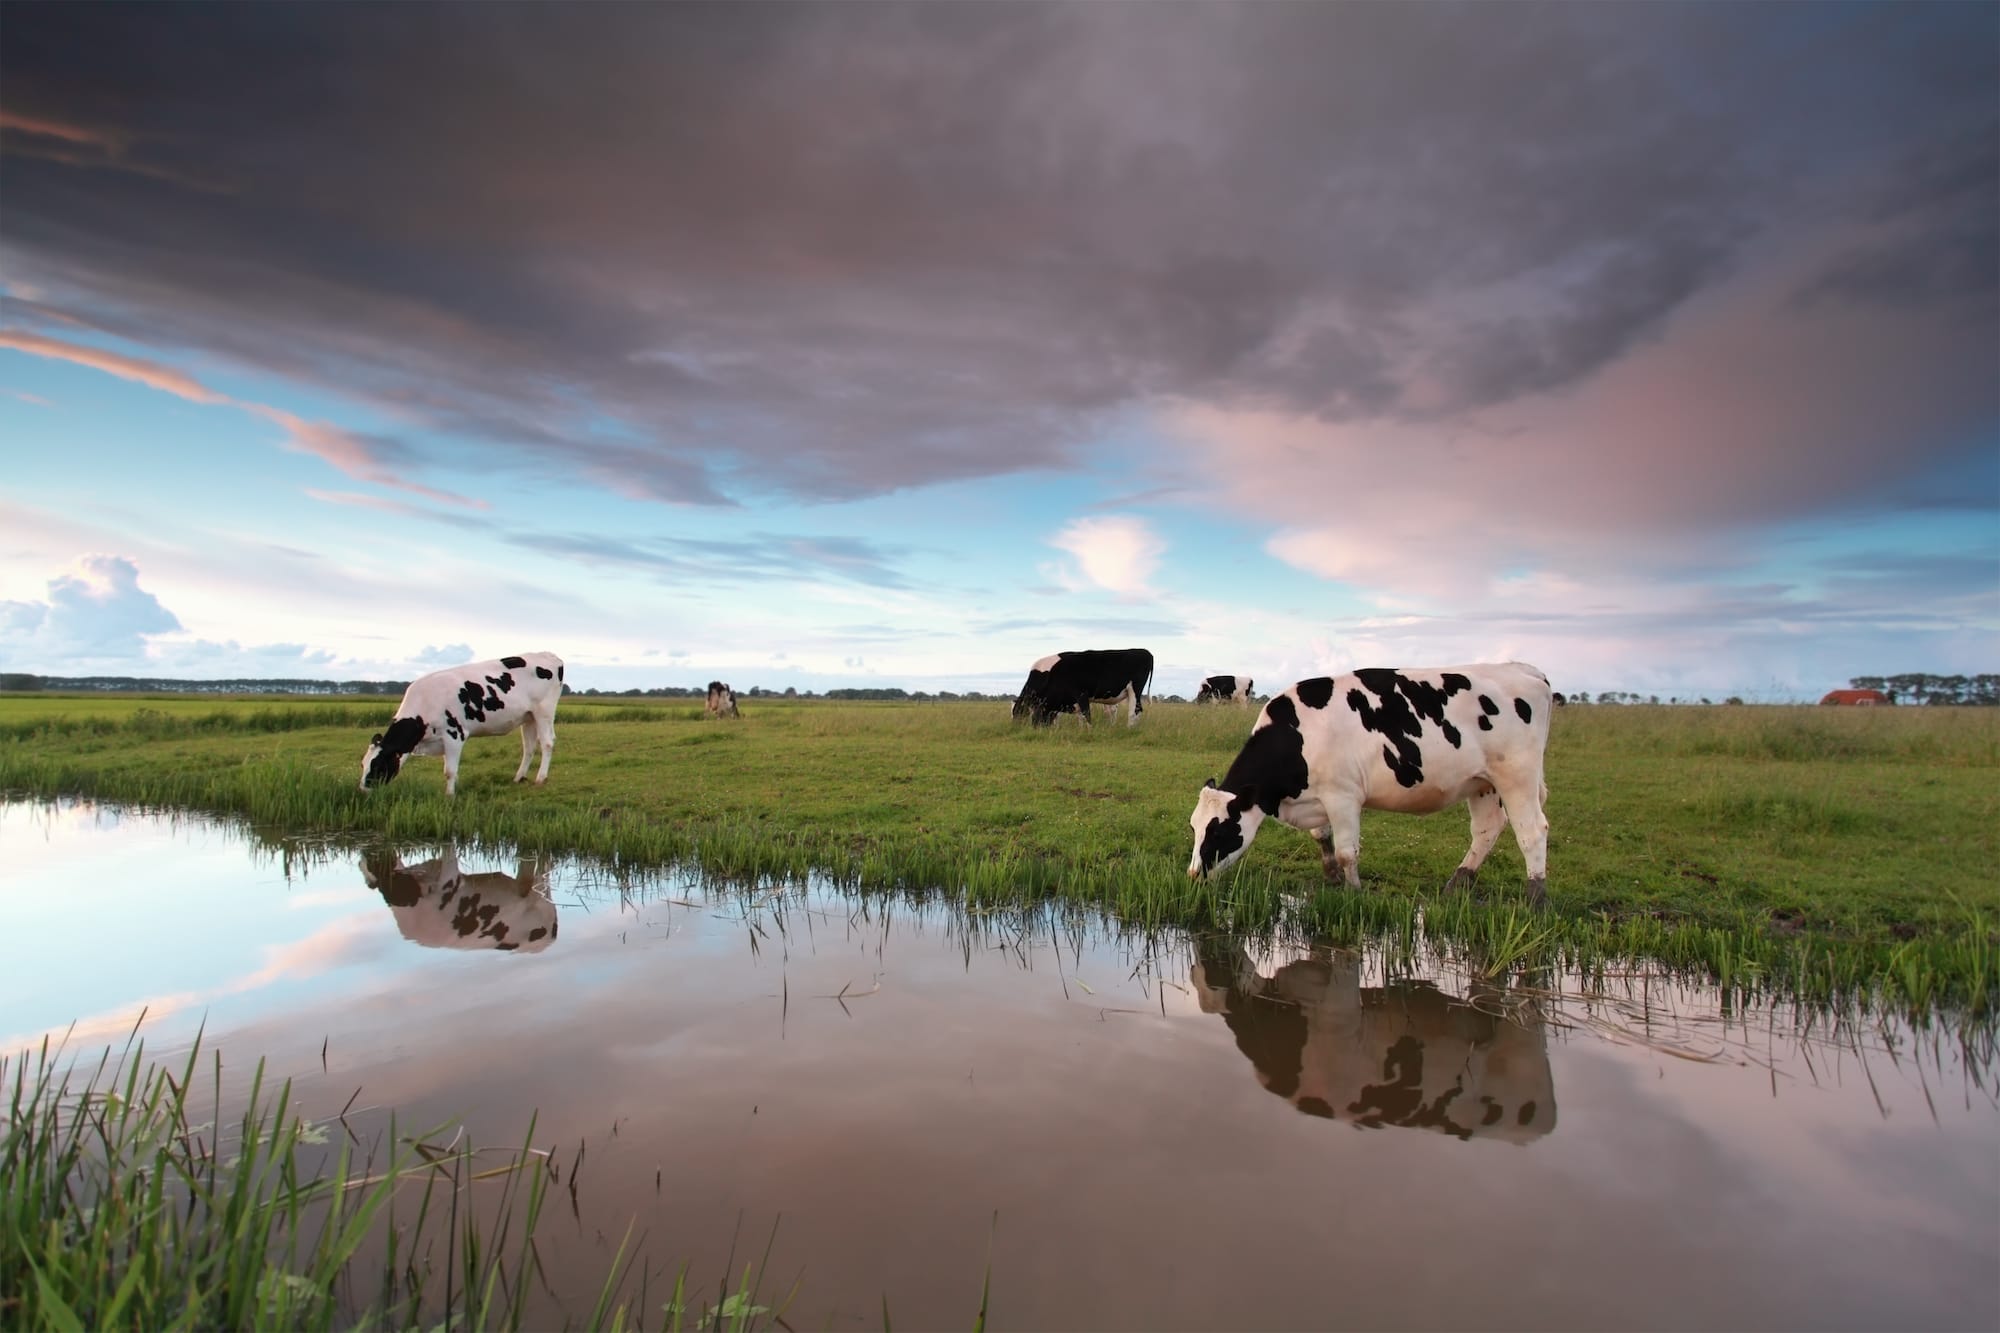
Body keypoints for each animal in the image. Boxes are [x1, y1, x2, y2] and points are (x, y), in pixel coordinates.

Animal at [358, 652, 560, 792]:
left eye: (378, 766)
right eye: (363, 764)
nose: (363, 790)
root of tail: (550, 656)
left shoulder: (454, 735)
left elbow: (449, 770)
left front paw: (449, 795)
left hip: (544, 712)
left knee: (547, 743)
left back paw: (541, 778)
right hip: (529, 717)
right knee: (529, 747)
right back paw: (519, 777)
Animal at [362, 844, 560, 948]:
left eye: (372, 863)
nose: (365, 854)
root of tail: (551, 937)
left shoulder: (448, 877)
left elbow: (448, 852)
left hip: (540, 898)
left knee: (544, 867)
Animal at [1016, 644, 1160, 728]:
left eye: (1018, 713)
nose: (1035, 729)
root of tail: (1145, 652)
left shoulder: (1082, 694)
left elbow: (1086, 714)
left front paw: (1088, 731)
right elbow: (1079, 715)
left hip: (1135, 689)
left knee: (1135, 710)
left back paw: (1129, 729)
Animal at [1192, 660, 1552, 904]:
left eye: (1219, 831)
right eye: (1193, 827)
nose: (1194, 875)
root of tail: (1526, 671)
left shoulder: (1343, 796)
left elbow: (1347, 851)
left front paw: (1354, 890)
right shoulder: (1319, 797)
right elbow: (1321, 837)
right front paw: (1331, 876)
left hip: (1517, 775)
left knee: (1532, 831)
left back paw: (1536, 898)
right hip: (1483, 783)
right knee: (1488, 828)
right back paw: (1459, 881)